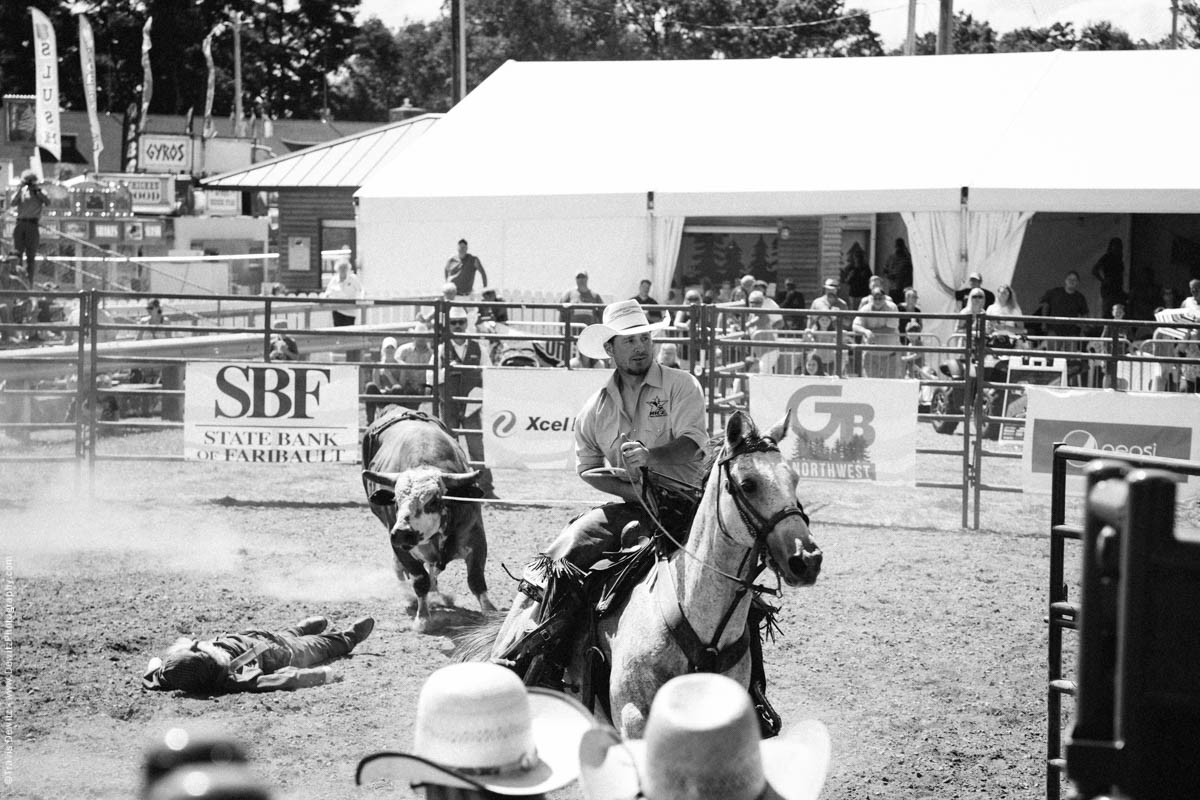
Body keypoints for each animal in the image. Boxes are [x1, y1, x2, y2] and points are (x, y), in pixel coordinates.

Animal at [357, 412, 494, 633]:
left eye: (433, 501)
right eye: (396, 501)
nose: (402, 532)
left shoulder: (476, 538)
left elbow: (475, 580)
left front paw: (490, 613)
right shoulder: (400, 547)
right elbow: (420, 580)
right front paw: (423, 618)